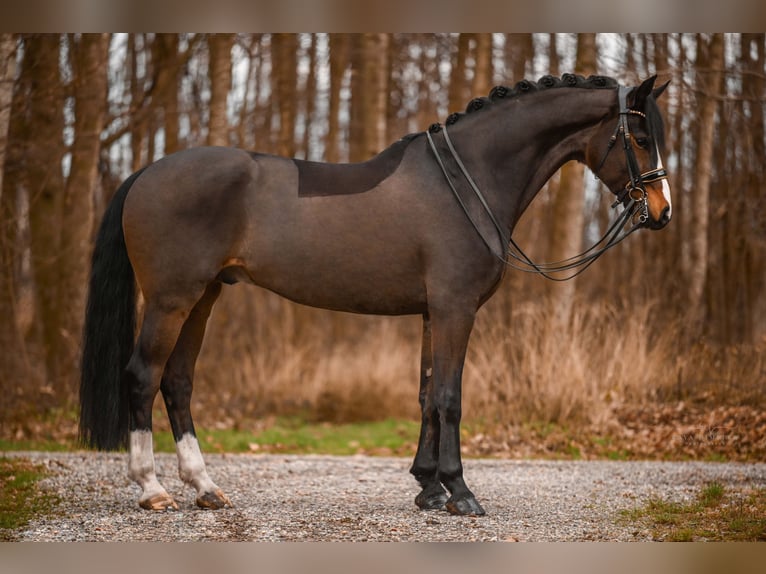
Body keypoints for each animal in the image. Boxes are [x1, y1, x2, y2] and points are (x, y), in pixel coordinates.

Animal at [79, 73, 672, 516]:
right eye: (641, 139)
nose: (662, 212)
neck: (469, 181)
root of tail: (146, 172)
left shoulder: (434, 313)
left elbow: (428, 396)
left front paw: (428, 487)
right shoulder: (455, 310)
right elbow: (450, 398)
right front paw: (460, 493)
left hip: (203, 298)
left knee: (177, 382)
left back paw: (204, 487)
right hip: (170, 300)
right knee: (143, 376)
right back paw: (152, 489)